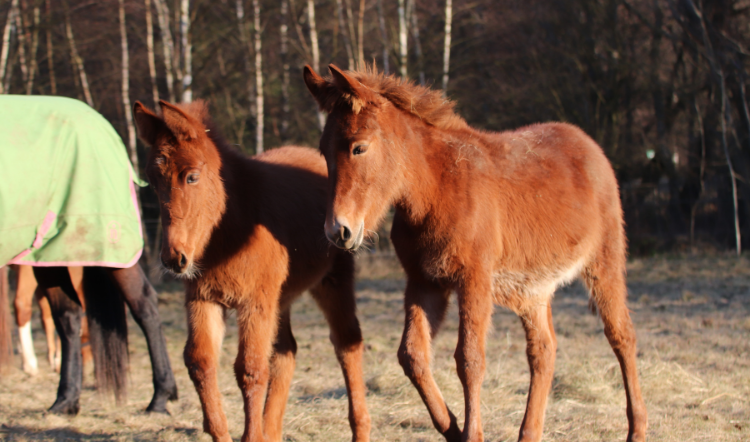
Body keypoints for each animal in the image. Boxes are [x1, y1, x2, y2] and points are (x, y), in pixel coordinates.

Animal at [0, 94, 178, 414]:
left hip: (109, 245)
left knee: (144, 304)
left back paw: (160, 397)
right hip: (51, 255)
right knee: (68, 316)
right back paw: (65, 400)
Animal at [133, 100, 374, 442]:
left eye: (191, 177)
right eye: (153, 181)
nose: (173, 259)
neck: (230, 231)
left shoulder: (254, 304)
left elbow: (251, 369)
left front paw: (252, 435)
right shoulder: (204, 300)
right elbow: (201, 362)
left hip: (331, 282)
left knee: (347, 344)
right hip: (280, 300)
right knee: (286, 353)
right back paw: (271, 431)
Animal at [306, 65, 652, 442]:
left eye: (359, 148)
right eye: (323, 151)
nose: (338, 231)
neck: (437, 188)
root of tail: (589, 145)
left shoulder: (474, 280)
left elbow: (470, 359)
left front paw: (471, 434)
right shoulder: (425, 283)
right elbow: (413, 356)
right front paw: (454, 429)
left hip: (603, 264)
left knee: (622, 335)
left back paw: (637, 429)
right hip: (533, 288)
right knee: (543, 351)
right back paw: (529, 433)